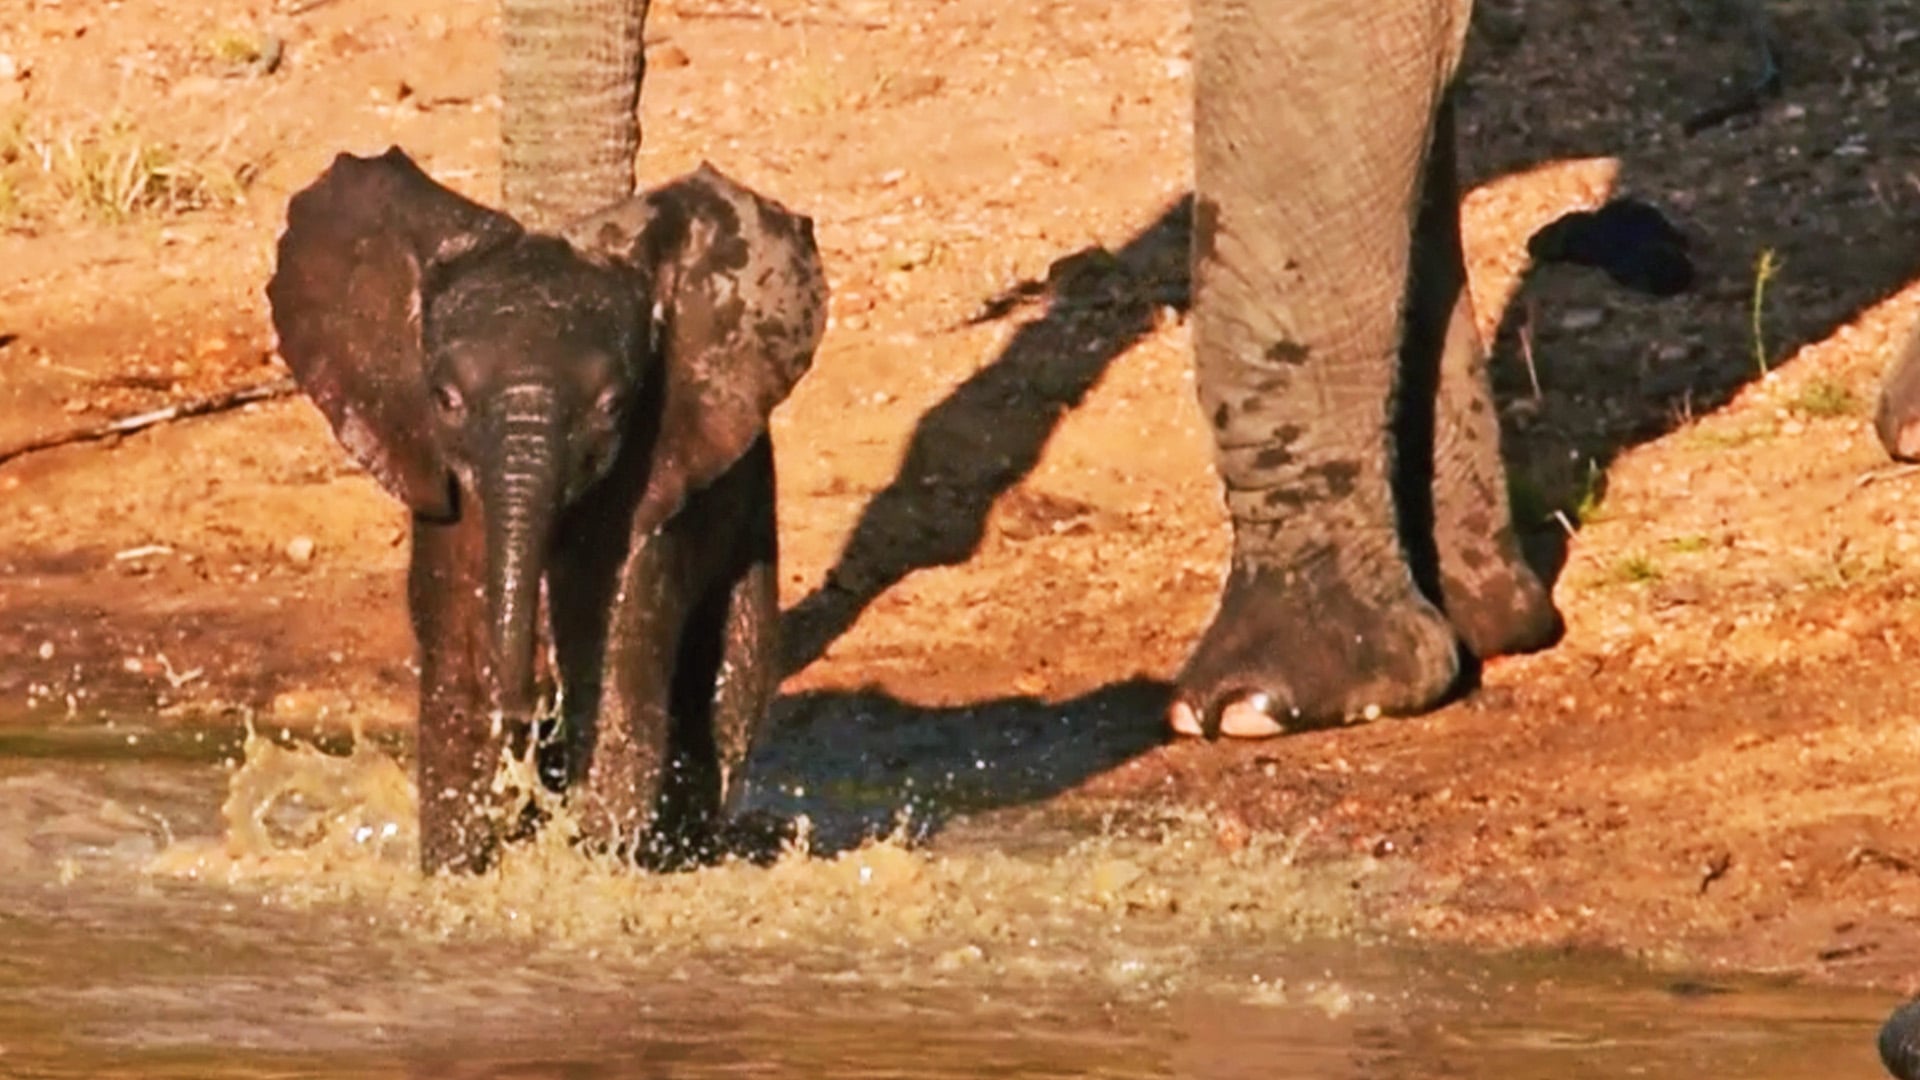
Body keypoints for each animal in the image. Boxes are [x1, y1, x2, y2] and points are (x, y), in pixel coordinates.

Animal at [265, 146, 828, 873]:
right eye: (445, 399)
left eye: (613, 406)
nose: (526, 704)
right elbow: (459, 660)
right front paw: (459, 870)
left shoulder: (648, 480)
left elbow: (615, 664)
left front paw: (596, 863)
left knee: (734, 674)